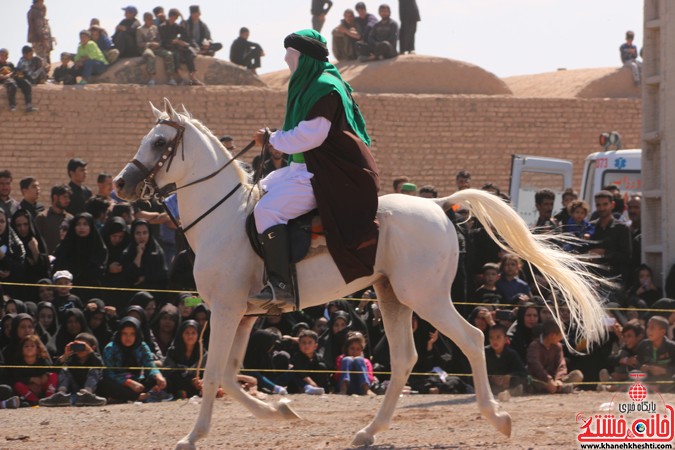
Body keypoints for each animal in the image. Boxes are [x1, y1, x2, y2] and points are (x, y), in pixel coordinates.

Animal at [113, 100, 608, 448]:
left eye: (159, 143)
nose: (120, 184)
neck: (226, 217)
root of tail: (436, 205)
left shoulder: (227, 309)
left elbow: (215, 374)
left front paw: (192, 437)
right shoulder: (246, 313)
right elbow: (233, 375)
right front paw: (282, 412)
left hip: (425, 298)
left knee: (471, 339)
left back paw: (498, 419)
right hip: (392, 297)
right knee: (407, 358)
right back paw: (369, 432)